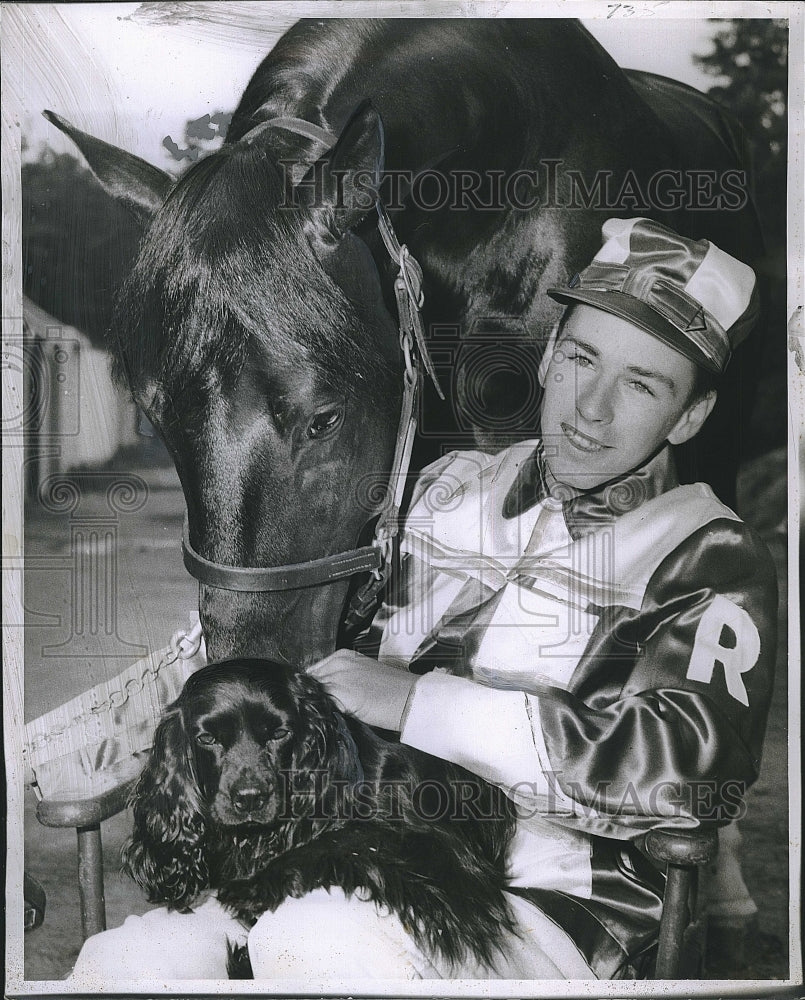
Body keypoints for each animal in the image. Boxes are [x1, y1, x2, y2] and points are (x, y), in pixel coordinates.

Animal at [122, 660, 520, 972]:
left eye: (280, 733)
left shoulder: (445, 851)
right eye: (207, 739)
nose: (250, 799)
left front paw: (258, 884)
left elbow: (345, 839)